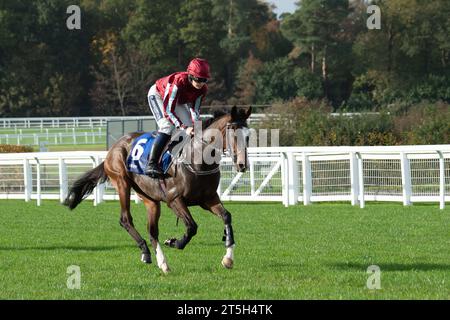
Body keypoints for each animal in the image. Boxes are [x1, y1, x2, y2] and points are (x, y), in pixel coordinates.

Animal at [62, 105, 251, 272]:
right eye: (234, 133)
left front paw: (228, 258)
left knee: (152, 230)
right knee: (125, 219)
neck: (197, 159)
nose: (242, 165)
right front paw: (174, 242)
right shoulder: (174, 199)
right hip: (122, 183)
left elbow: (227, 216)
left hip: (150, 198)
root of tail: (113, 148)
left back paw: (162, 263)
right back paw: (146, 252)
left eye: (248, 136)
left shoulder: (208, 199)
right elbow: (192, 227)